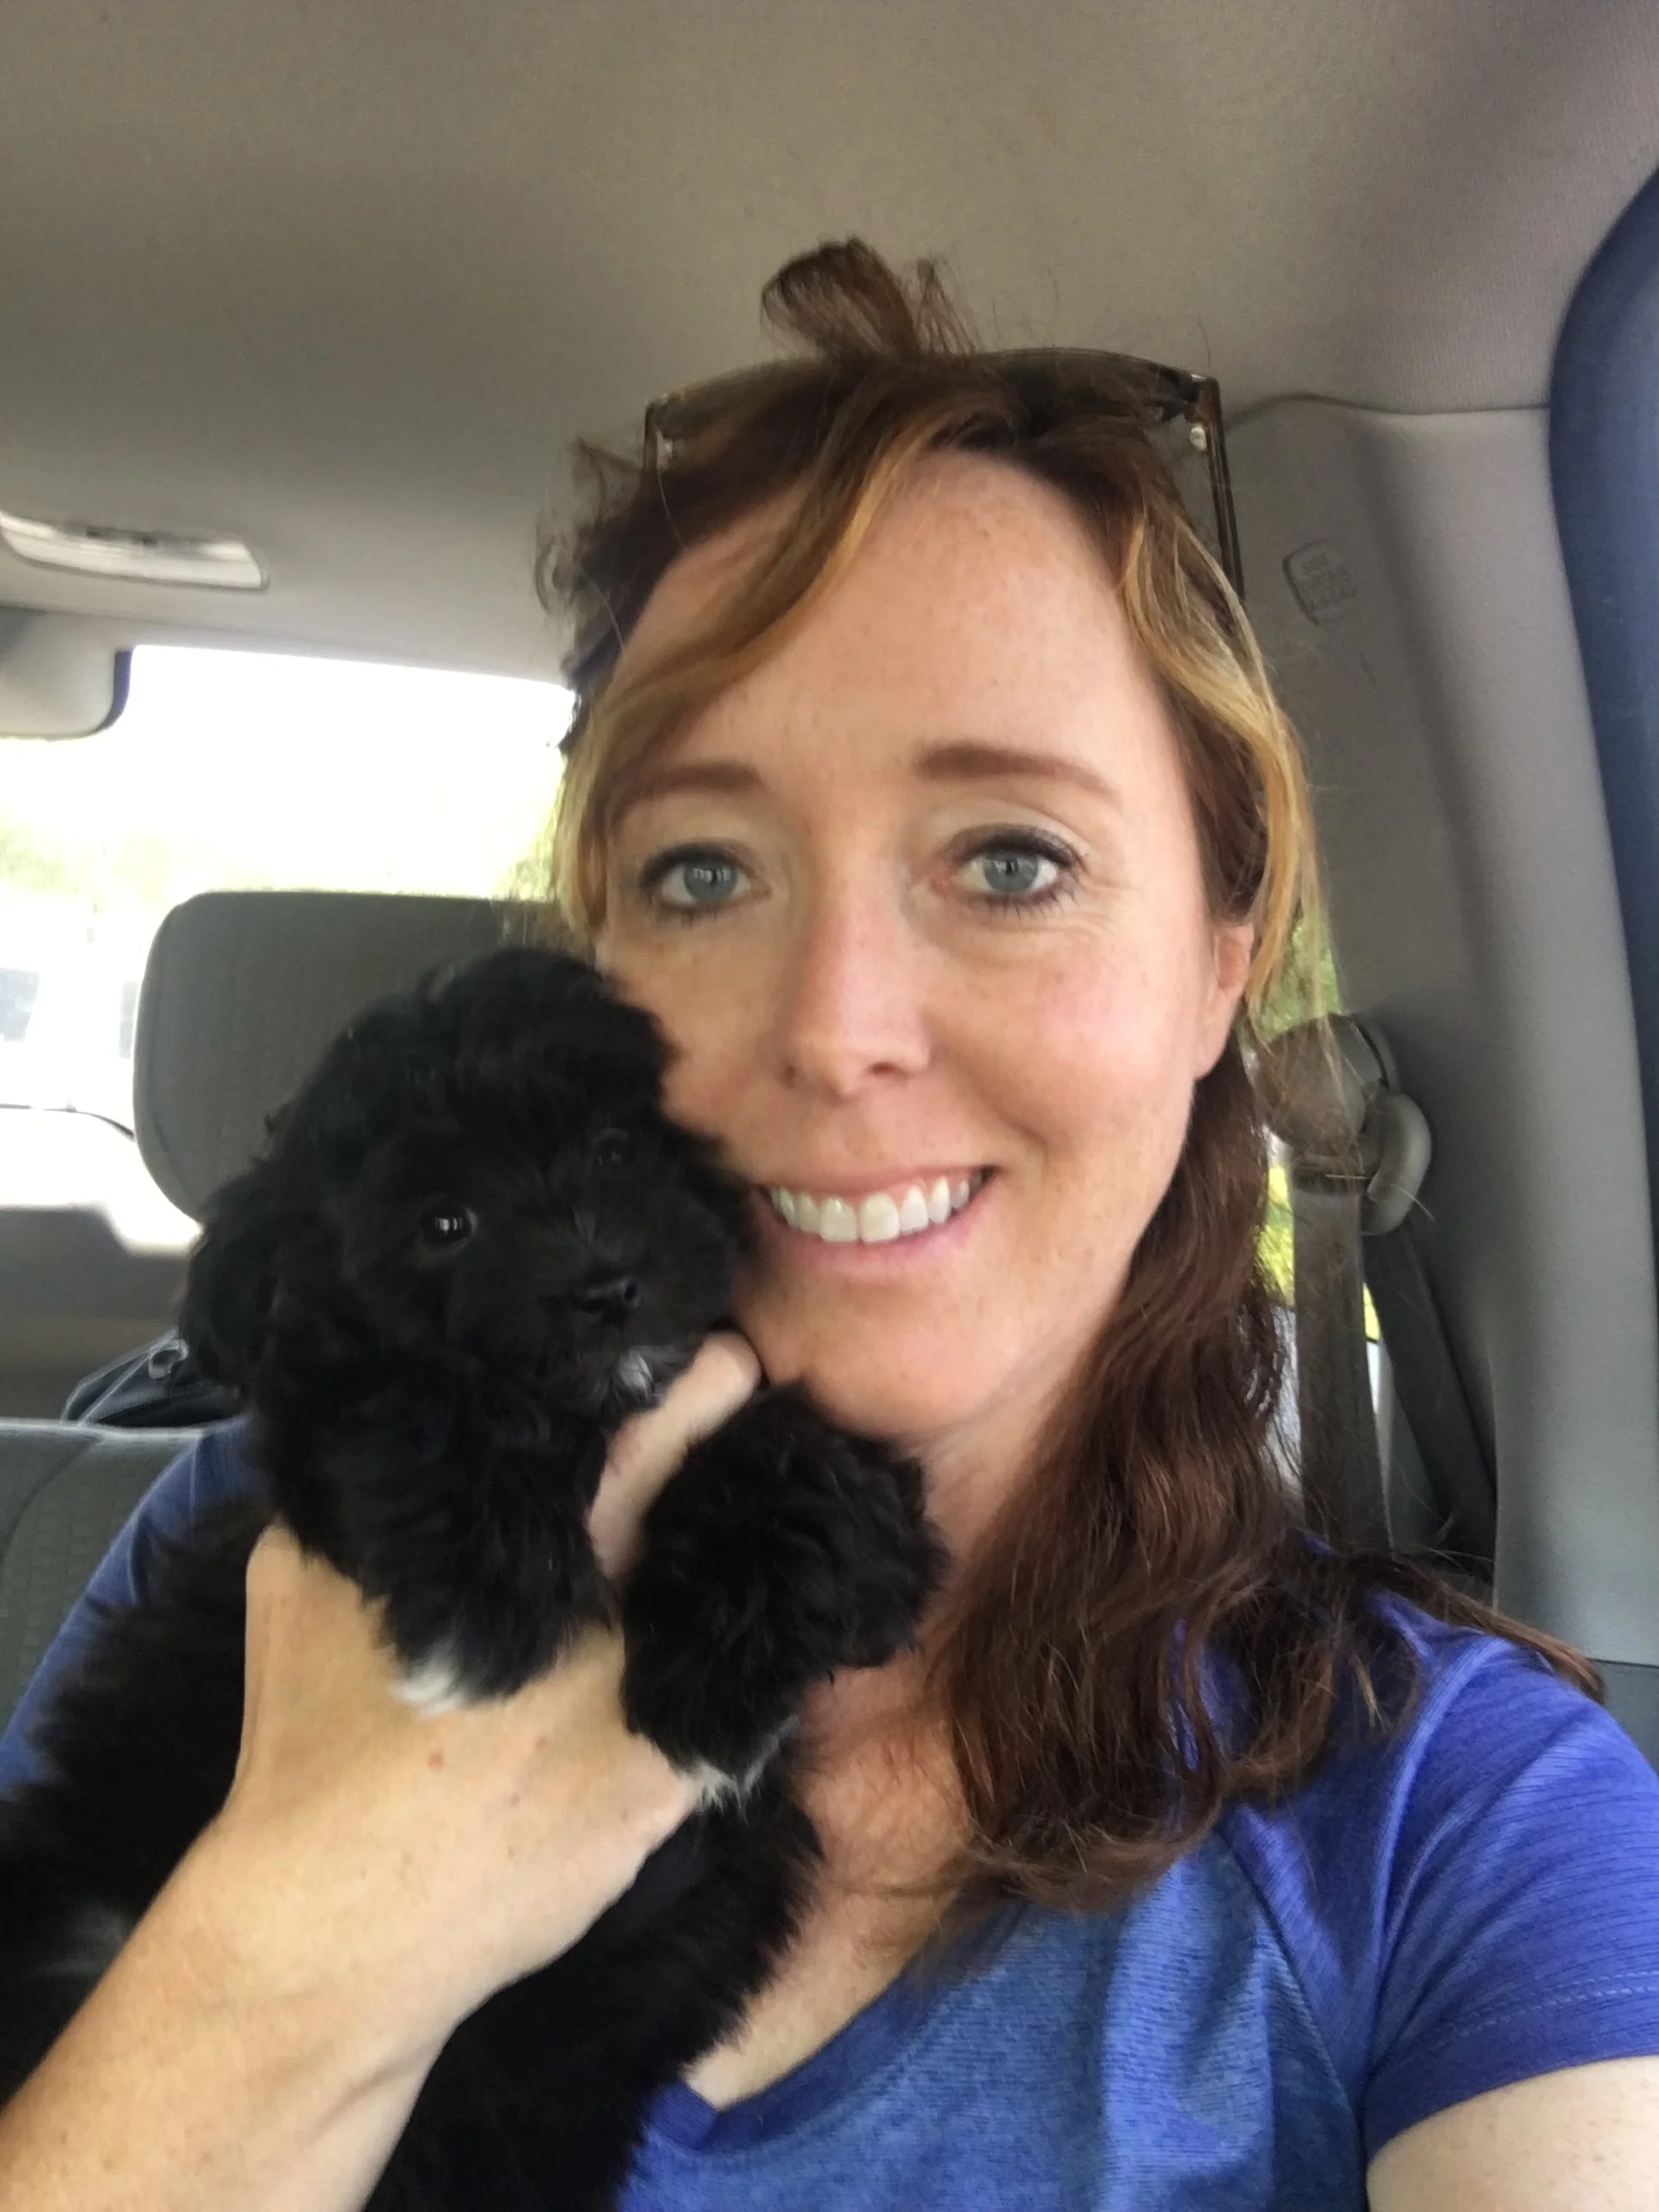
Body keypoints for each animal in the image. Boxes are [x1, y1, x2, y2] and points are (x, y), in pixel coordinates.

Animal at [0, 947, 944, 2210]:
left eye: (617, 1145)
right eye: (444, 1224)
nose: (604, 1283)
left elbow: (803, 1466)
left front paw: (718, 1664)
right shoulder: (331, 1439)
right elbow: (421, 1399)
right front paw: (492, 1595)